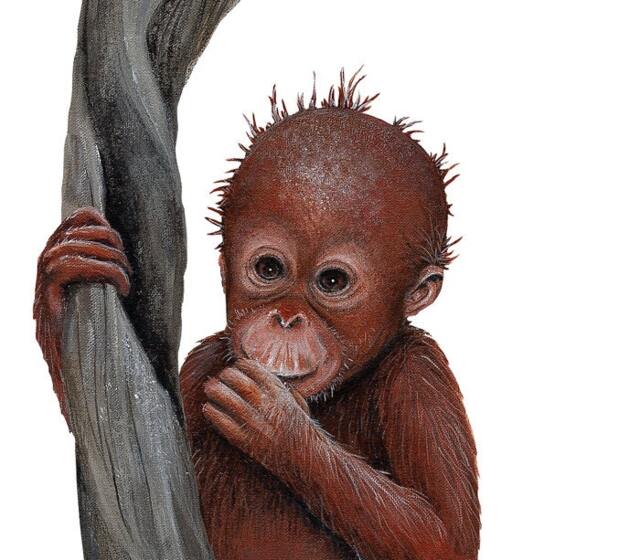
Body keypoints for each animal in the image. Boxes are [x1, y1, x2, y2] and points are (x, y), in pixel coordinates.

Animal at [35, 70, 480, 560]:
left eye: (332, 282)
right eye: (269, 270)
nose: (285, 318)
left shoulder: (422, 376)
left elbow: (443, 536)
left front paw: (279, 428)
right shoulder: (204, 361)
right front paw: (64, 273)